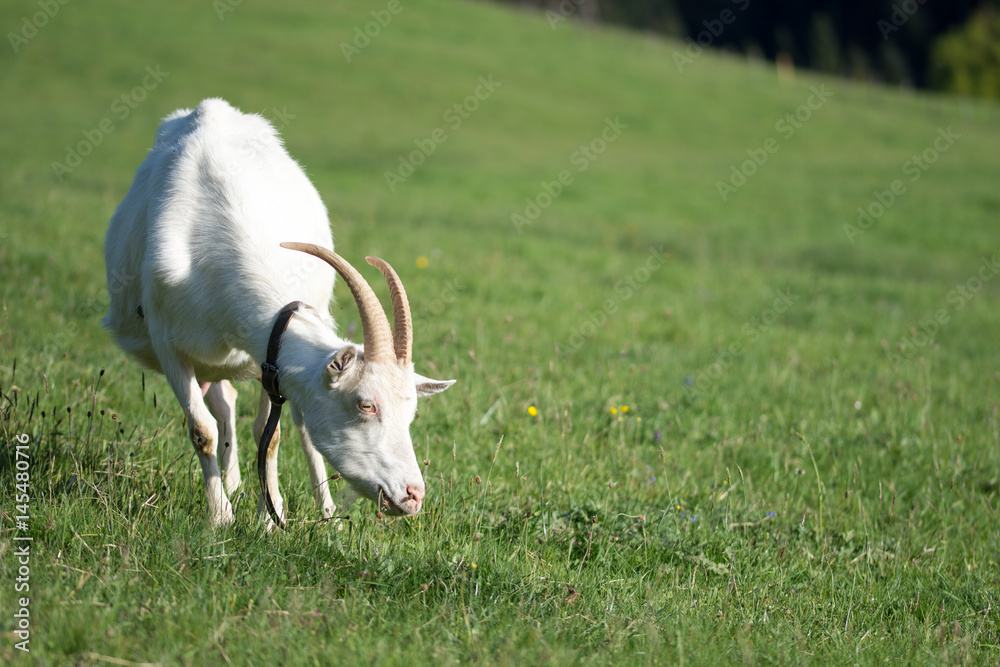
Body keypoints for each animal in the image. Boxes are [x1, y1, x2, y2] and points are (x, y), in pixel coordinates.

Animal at [104, 98, 454, 528]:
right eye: (365, 405)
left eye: (411, 414)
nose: (413, 495)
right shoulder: (168, 344)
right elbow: (201, 429)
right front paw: (221, 516)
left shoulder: (270, 360)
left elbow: (268, 436)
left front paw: (268, 519)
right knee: (223, 403)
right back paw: (233, 483)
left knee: (293, 423)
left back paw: (325, 511)